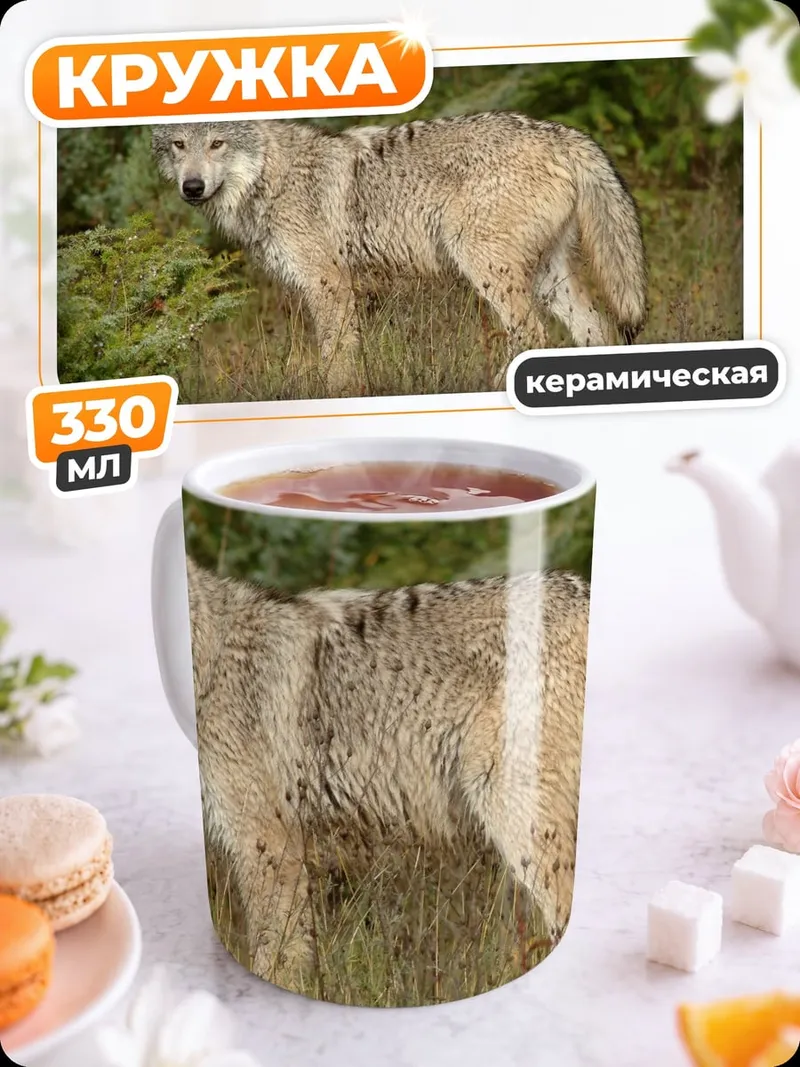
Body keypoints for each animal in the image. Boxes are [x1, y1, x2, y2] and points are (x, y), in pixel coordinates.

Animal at [152, 112, 648, 391]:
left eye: (217, 143)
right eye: (179, 144)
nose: (192, 187)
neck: (269, 177)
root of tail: (563, 133)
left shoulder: (330, 285)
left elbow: (336, 363)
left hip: (486, 267)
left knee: (533, 335)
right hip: (547, 280)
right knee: (597, 330)